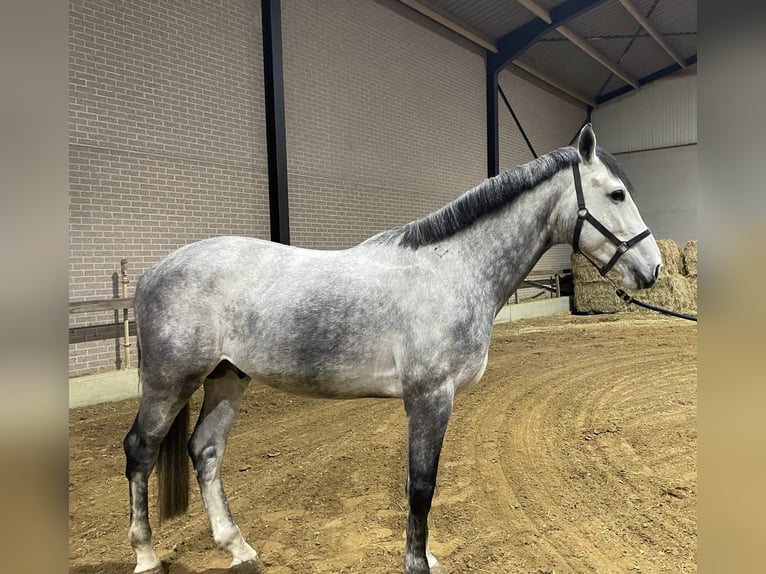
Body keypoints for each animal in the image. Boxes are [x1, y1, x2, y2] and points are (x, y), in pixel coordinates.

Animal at [123, 127, 664, 574]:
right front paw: (418, 563)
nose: (653, 268)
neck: (452, 267)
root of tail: (153, 272)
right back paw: (146, 556)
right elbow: (421, 485)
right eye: (616, 194)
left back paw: (238, 548)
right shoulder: (430, 396)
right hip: (169, 382)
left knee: (206, 450)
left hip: (227, 377)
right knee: (140, 451)